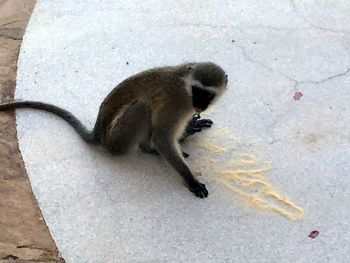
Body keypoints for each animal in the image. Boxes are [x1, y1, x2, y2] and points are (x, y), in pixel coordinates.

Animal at [0, 62, 227, 198]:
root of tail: (98, 133)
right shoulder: (175, 104)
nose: (200, 105)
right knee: (143, 107)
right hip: (119, 137)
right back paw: (149, 148)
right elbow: (162, 137)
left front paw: (190, 129)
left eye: (207, 95)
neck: (185, 89)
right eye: (197, 91)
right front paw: (191, 180)